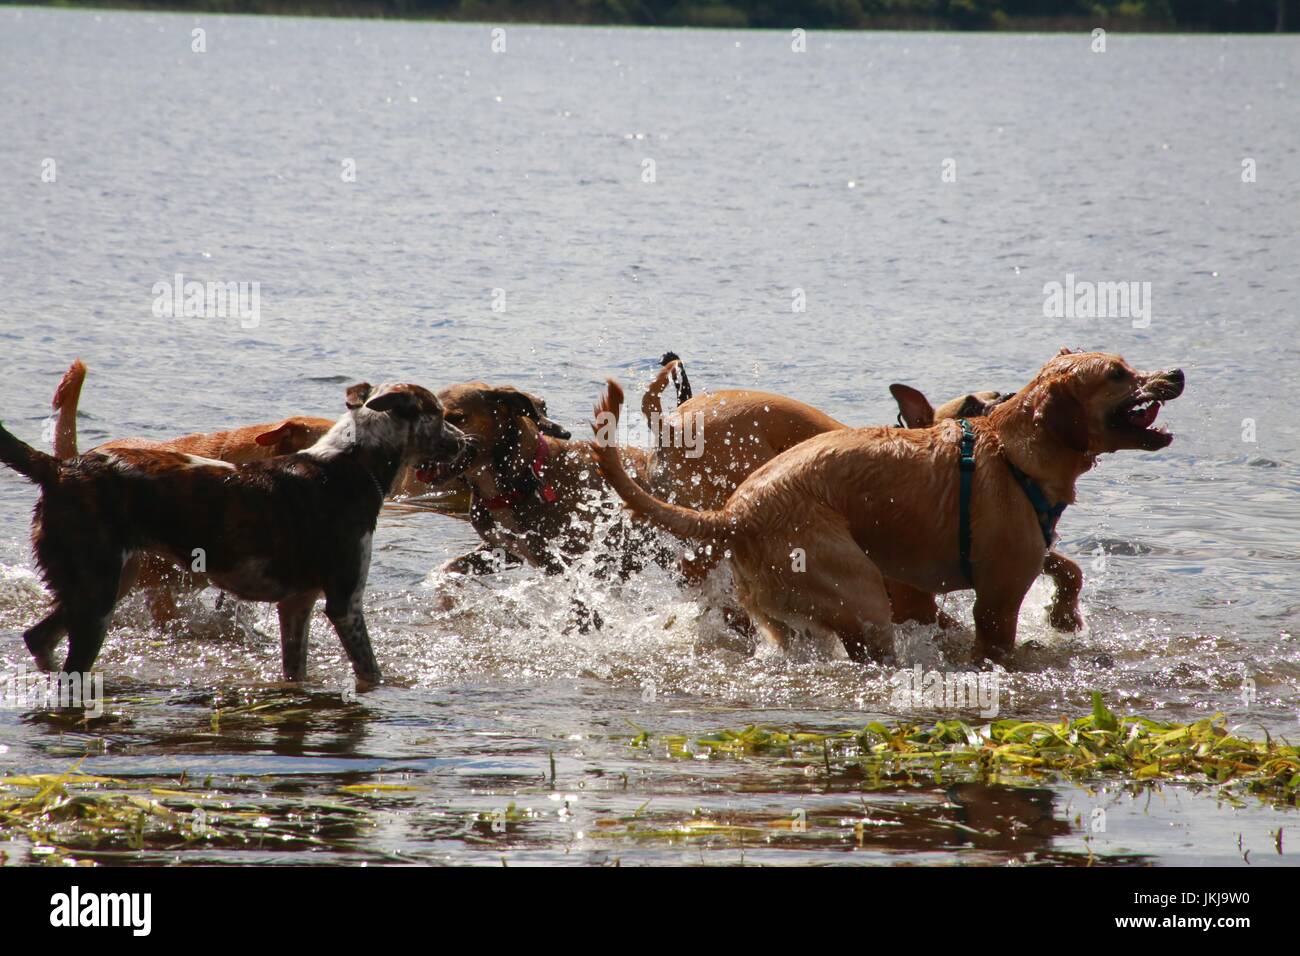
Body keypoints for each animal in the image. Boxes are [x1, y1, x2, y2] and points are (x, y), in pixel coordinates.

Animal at [595, 348, 1185, 665]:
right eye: (1116, 373)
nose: (1176, 374)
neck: (1009, 448)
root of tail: (735, 516)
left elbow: (1066, 566)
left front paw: (1064, 615)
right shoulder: (992, 599)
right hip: (859, 596)